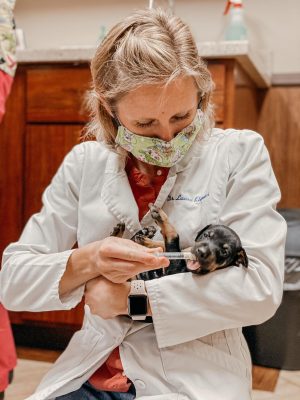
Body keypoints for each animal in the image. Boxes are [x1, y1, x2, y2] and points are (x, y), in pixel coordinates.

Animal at [110, 203, 248, 282]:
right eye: (206, 235)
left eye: (224, 252)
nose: (200, 252)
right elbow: (166, 245)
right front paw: (145, 240)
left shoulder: (173, 270)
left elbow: (173, 236)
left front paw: (160, 215)